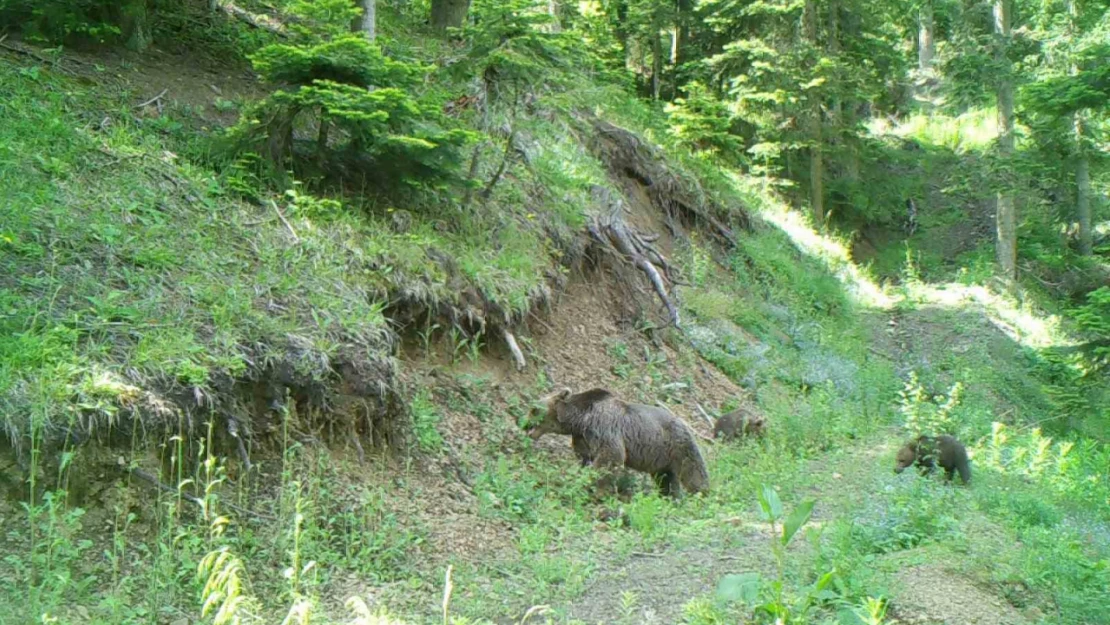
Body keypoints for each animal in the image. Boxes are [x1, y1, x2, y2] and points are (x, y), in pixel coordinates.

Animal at [523, 386, 705, 499]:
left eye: (533, 409)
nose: (523, 424)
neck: (581, 419)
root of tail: (684, 423)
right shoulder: (584, 436)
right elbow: (585, 457)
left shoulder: (605, 427)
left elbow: (610, 457)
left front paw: (598, 490)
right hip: (662, 458)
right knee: (666, 478)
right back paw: (670, 497)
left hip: (678, 446)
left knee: (693, 471)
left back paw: (701, 494)